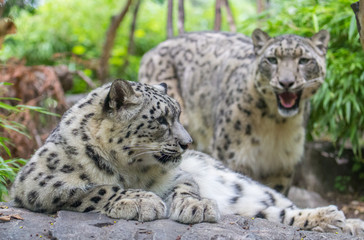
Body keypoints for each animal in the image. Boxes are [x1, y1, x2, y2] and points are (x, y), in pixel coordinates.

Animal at [9, 79, 364, 235]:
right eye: (162, 120)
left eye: (178, 115)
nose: (188, 143)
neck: (131, 169)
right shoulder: (37, 181)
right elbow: (97, 188)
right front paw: (140, 200)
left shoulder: (180, 175)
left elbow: (186, 184)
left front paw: (197, 207)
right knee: (277, 215)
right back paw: (335, 221)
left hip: (253, 189)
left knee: (284, 209)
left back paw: (338, 219)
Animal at [139, 29, 330, 194]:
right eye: (272, 59)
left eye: (304, 60)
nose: (286, 82)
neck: (276, 123)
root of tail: (150, 52)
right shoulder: (233, 155)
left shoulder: (282, 164)